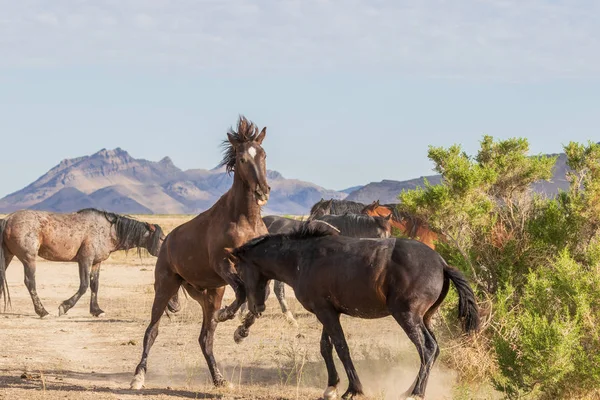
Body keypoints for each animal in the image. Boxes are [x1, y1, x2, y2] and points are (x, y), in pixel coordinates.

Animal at [0, 208, 164, 318]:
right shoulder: (85, 260)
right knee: (30, 282)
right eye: (162, 238)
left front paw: (97, 310)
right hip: (29, 259)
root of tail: (8, 219)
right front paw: (64, 307)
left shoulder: (96, 262)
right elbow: (84, 285)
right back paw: (42, 311)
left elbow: (94, 285)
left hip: (8, 256)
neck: (108, 230)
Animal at [132, 115, 274, 390]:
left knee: (205, 339)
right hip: (166, 287)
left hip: (210, 292)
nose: (262, 191)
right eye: (242, 158)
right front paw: (229, 316)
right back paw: (138, 377)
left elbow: (259, 300)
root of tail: (167, 241)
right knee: (152, 331)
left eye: (263, 155)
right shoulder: (223, 263)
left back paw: (219, 379)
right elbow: (243, 292)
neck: (244, 220)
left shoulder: (255, 268)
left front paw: (241, 332)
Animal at [227, 225, 480, 400]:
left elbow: (341, 347)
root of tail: (442, 264)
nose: (256, 307)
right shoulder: (327, 312)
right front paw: (331, 387)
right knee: (433, 350)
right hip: (424, 318)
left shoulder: (326, 313)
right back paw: (408, 389)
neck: (303, 258)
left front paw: (353, 389)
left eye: (239, 268)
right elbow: (326, 347)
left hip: (408, 317)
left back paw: (415, 393)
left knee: (427, 349)